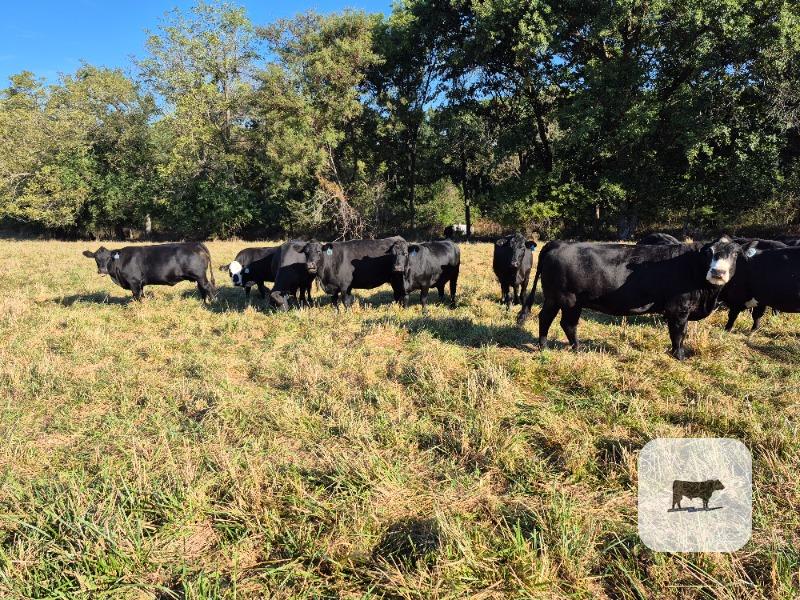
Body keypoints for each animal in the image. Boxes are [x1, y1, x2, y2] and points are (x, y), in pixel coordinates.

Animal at [82, 242, 216, 302]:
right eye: (96, 258)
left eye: (109, 258)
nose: (102, 270)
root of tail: (196, 244)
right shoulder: (140, 283)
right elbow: (142, 294)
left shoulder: (134, 282)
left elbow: (137, 296)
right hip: (198, 277)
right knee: (202, 289)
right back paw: (204, 301)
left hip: (200, 276)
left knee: (208, 287)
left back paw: (211, 302)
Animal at [517, 236, 747, 360]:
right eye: (709, 253)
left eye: (735, 254)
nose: (718, 272)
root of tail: (559, 243)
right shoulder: (678, 309)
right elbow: (678, 334)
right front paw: (679, 355)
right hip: (566, 299)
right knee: (557, 321)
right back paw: (558, 347)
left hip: (563, 300)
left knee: (557, 321)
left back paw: (564, 347)